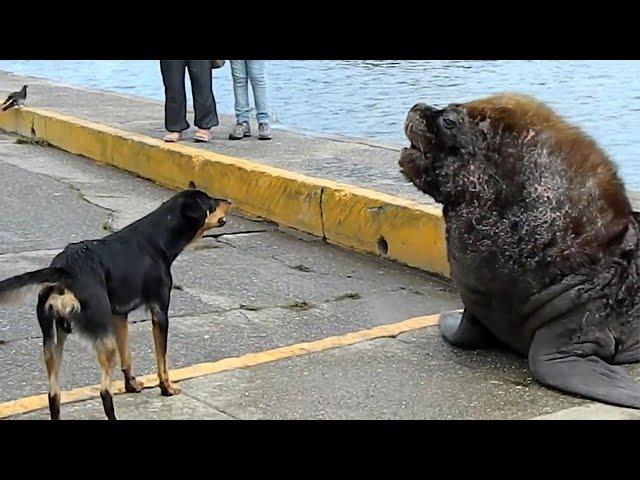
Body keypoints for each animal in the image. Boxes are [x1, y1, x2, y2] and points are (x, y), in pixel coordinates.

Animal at [0, 182, 231, 418]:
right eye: (212, 203)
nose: (229, 201)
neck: (159, 237)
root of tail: (64, 271)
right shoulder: (159, 312)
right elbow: (162, 361)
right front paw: (166, 388)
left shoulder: (119, 316)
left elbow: (127, 355)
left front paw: (131, 385)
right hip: (103, 340)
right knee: (104, 391)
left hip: (53, 342)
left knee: (54, 395)